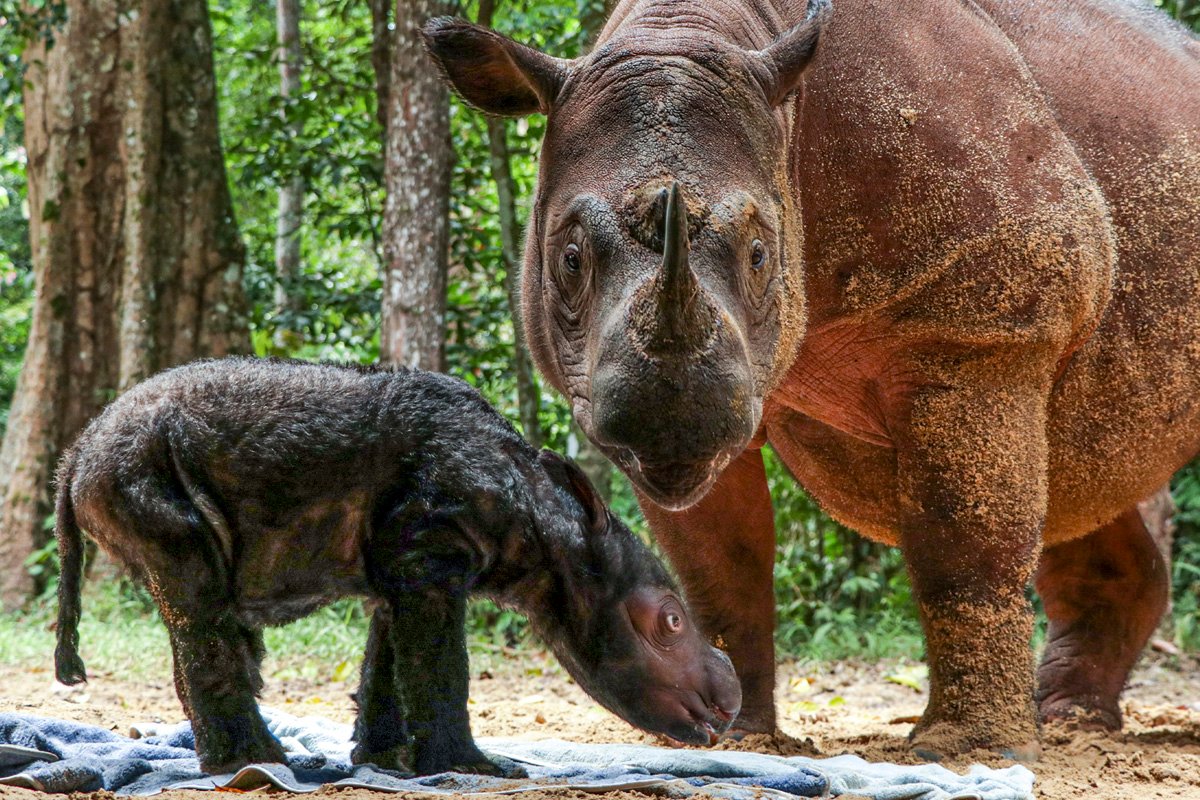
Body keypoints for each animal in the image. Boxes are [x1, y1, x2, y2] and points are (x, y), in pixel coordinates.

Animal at [425, 0, 1200, 758]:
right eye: (570, 259)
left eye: (761, 254)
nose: (670, 422)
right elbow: (718, 566)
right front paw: (742, 740)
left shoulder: (982, 334)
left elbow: (964, 542)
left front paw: (969, 751)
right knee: (1079, 475)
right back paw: (1071, 723)